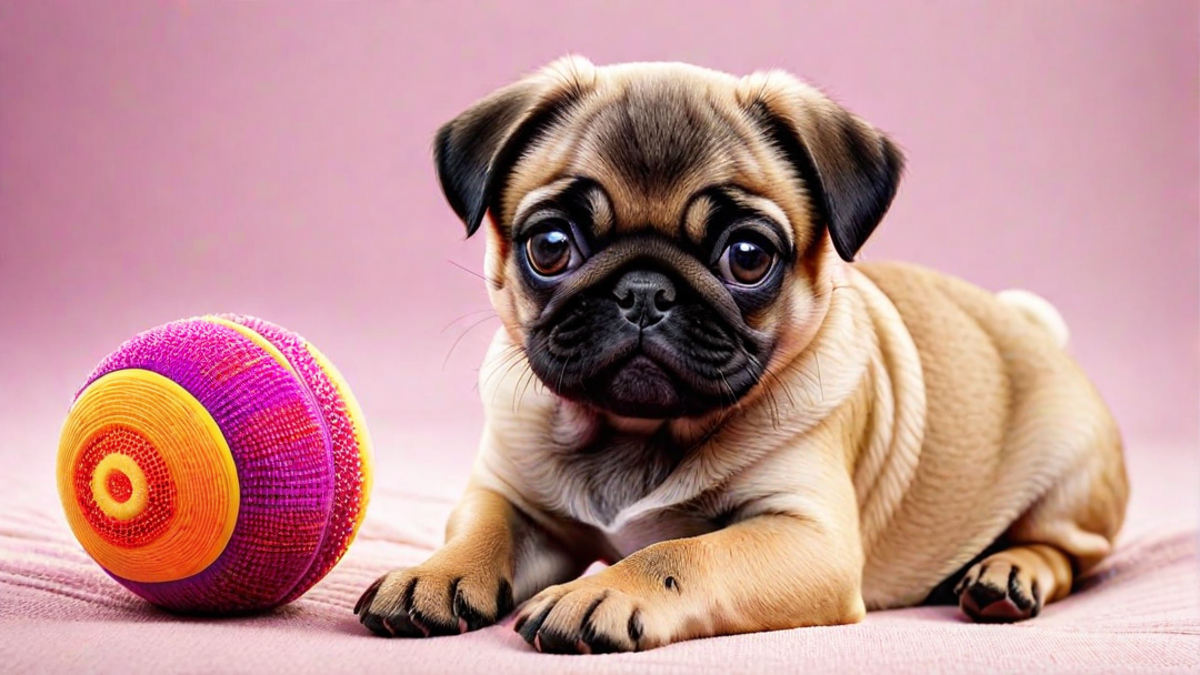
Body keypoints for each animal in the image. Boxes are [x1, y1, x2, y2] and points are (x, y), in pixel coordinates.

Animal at [352, 56, 1123, 653]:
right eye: (550, 245)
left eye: (748, 257)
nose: (643, 291)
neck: (637, 435)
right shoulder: (513, 497)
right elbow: (481, 528)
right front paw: (435, 573)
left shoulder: (805, 537)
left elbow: (682, 551)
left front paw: (604, 590)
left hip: (1073, 478)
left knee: (1067, 553)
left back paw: (1005, 574)